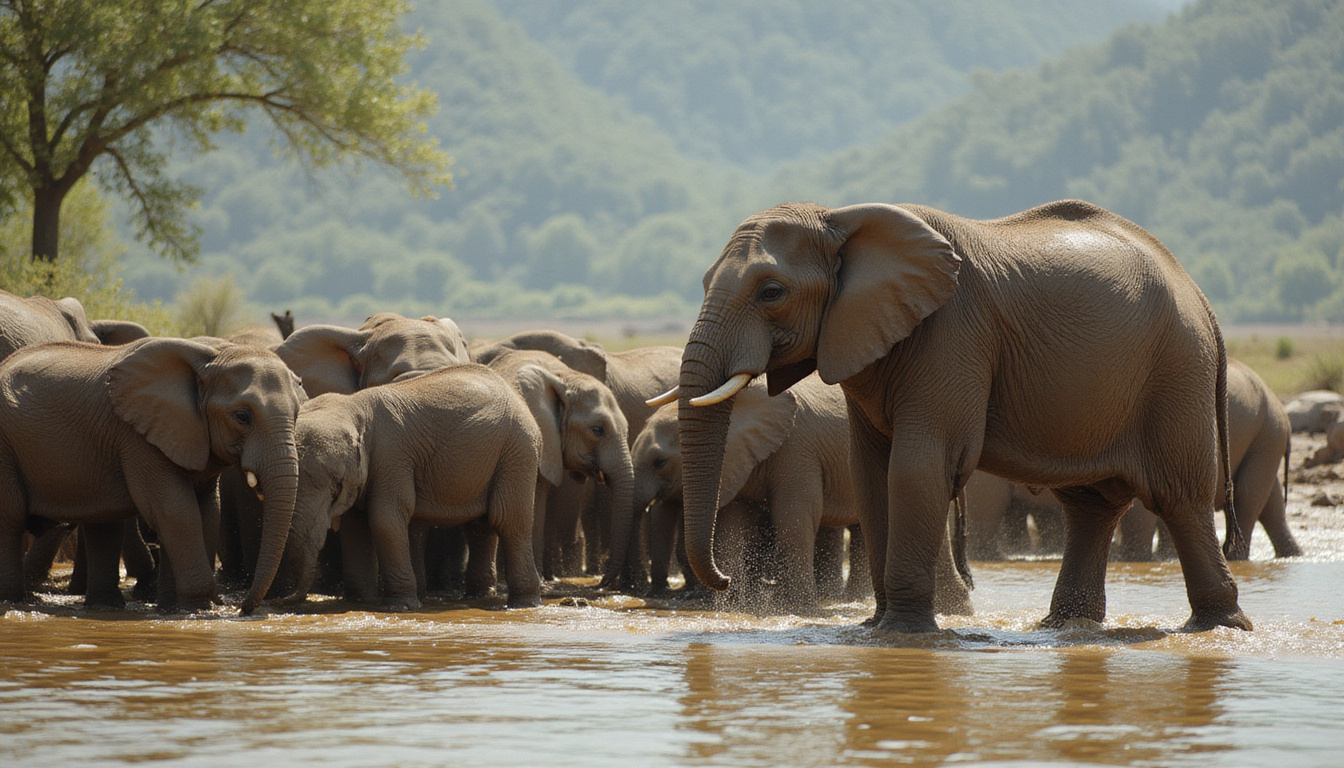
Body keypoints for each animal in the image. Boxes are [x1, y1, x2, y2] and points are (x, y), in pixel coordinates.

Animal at [0, 337, 305, 613]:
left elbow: (207, 512)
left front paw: (172, 608)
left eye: (296, 414)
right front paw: (198, 607)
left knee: (103, 524)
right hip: (5, 450)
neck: (212, 356)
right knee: (10, 520)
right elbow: (176, 510)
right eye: (243, 416)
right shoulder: (139, 438)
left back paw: (105, 606)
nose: (242, 608)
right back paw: (14, 601)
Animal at [283, 363, 543, 611]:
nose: (285, 599)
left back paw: (524, 603)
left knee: (508, 519)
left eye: (336, 487)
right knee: (481, 525)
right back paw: (479, 596)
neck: (353, 406)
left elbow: (385, 519)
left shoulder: (391, 457)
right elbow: (356, 527)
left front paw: (400, 606)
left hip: (518, 449)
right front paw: (359, 602)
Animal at [656, 199, 1250, 633]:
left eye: (772, 292)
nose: (725, 582)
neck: (840, 218)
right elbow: (872, 473)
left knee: (1179, 496)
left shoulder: (952, 331)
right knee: (1091, 505)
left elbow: (918, 466)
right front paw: (873, 627)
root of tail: (1200, 296)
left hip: (1175, 371)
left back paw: (1218, 627)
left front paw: (901, 634)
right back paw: (1063, 627)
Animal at [1116, 359, 1300, 561]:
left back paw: (1236, 558)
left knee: (1246, 495)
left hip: (1267, 434)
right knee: (1270, 500)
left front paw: (1132, 559)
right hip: (1265, 435)